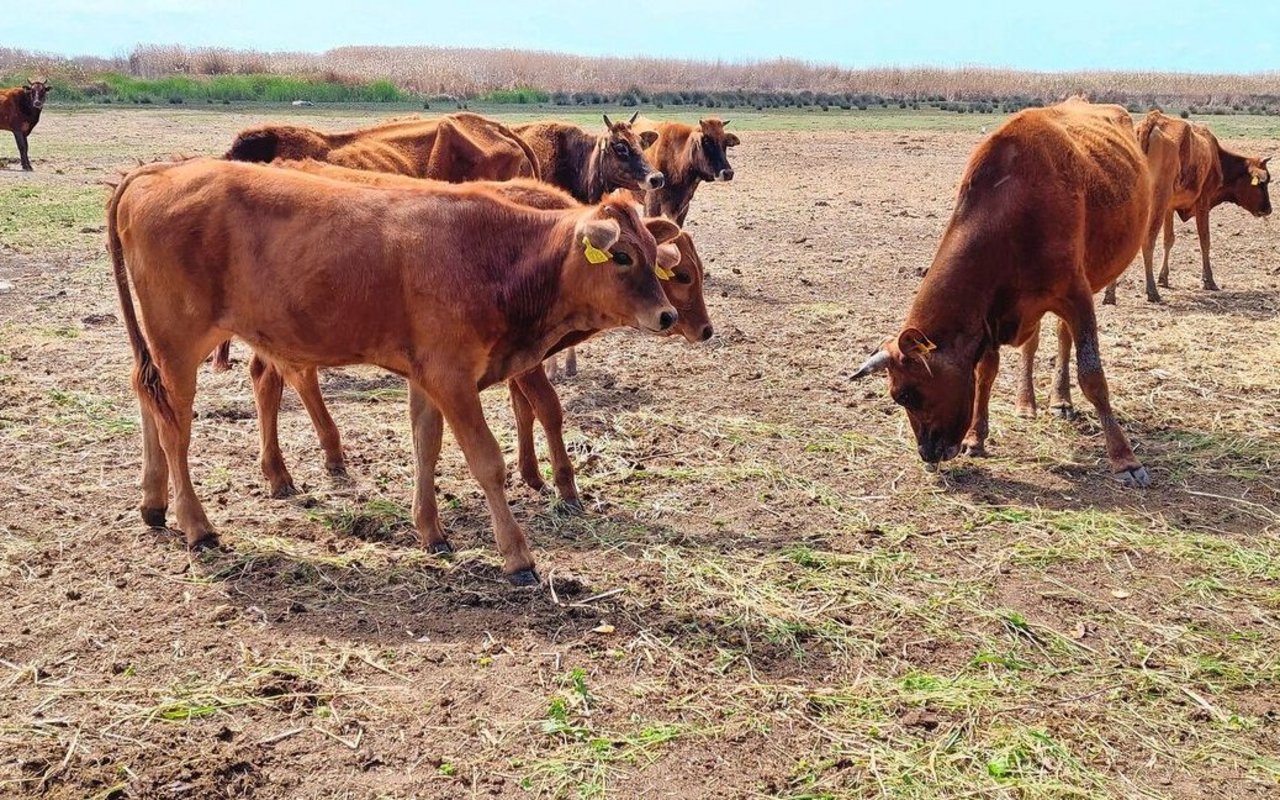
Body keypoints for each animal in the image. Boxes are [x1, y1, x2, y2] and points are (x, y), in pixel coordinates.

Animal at [238, 160, 711, 514]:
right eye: (681, 275)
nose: (703, 329)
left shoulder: (519, 359)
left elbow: (525, 411)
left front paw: (532, 474)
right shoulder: (519, 362)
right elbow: (548, 409)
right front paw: (564, 486)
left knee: (270, 378)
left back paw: (298, 466)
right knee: (289, 378)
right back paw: (294, 467)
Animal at [855, 99, 1157, 486]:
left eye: (906, 394)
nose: (927, 453)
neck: (1012, 212)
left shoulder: (1077, 296)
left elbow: (1092, 377)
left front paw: (1124, 459)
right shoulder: (992, 316)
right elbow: (986, 373)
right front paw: (976, 438)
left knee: (1063, 338)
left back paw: (1061, 399)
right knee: (1036, 343)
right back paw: (1029, 403)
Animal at [1100, 113, 1269, 307]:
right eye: (1263, 183)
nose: (1269, 209)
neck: (1216, 156)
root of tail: (1152, 120)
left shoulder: (1169, 207)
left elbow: (1169, 240)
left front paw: (1164, 278)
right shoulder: (1203, 202)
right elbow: (1205, 240)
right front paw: (1209, 280)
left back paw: (1110, 294)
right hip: (1158, 199)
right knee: (1148, 240)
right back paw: (1152, 291)